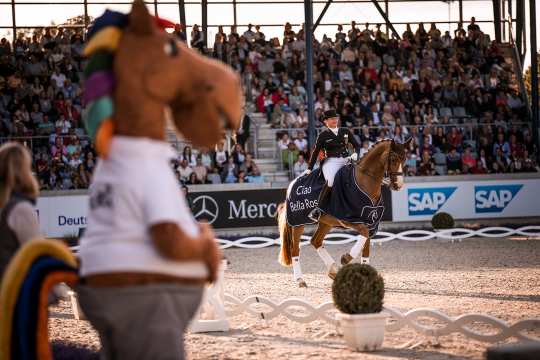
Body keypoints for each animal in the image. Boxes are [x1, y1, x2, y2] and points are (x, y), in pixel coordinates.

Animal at [278, 138, 410, 286]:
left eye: (404, 158)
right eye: (393, 159)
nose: (398, 185)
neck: (364, 181)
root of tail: (292, 183)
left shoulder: (370, 222)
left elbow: (365, 248)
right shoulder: (350, 220)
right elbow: (363, 235)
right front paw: (346, 258)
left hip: (326, 222)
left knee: (316, 241)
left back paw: (333, 271)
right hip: (298, 223)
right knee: (295, 249)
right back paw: (300, 280)